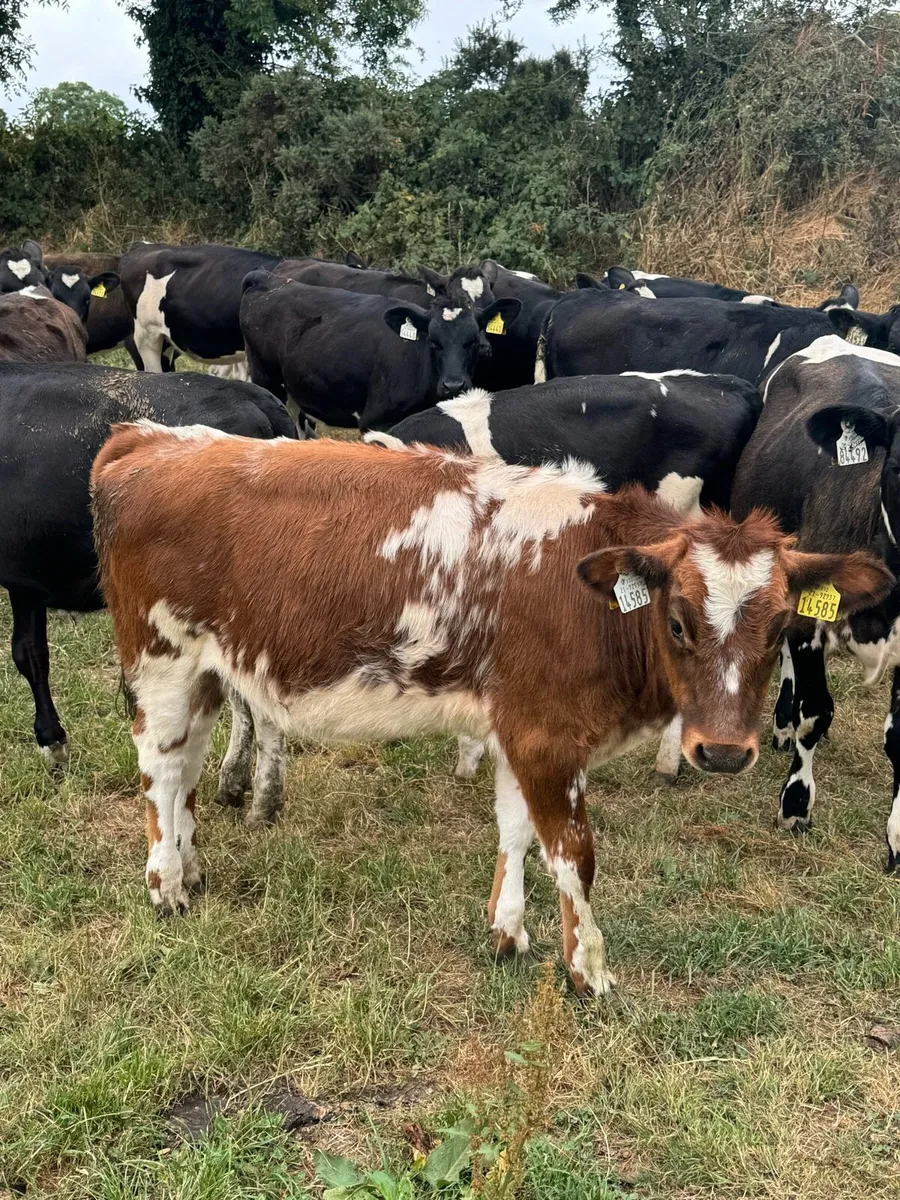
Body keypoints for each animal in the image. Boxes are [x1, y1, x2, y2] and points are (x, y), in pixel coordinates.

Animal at [91, 429, 888, 995]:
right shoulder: (546, 737)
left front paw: (509, 932)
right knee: (160, 773)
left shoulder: (520, 727)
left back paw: (191, 865)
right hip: (162, 660)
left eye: (782, 629)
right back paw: (166, 885)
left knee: (188, 769)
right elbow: (572, 853)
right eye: (678, 621)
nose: (723, 752)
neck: (587, 594)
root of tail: (152, 438)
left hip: (205, 672)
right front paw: (588, 969)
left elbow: (516, 830)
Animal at [239, 271, 521, 431]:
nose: (453, 385)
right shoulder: (376, 421)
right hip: (268, 382)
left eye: (472, 340)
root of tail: (268, 280)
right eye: (433, 341)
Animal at [731, 334, 900, 869]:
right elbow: (814, 710)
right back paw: (782, 722)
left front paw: (897, 836)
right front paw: (795, 802)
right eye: (899, 466)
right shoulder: (809, 617)